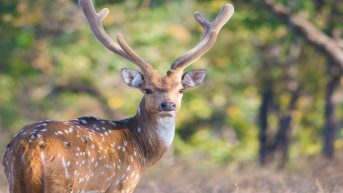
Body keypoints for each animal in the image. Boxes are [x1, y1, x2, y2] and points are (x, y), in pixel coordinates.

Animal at [2, 0, 234, 192]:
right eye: (147, 89)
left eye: (181, 89)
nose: (168, 105)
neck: (142, 151)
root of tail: (32, 146)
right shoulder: (123, 182)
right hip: (63, 182)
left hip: (15, 180)